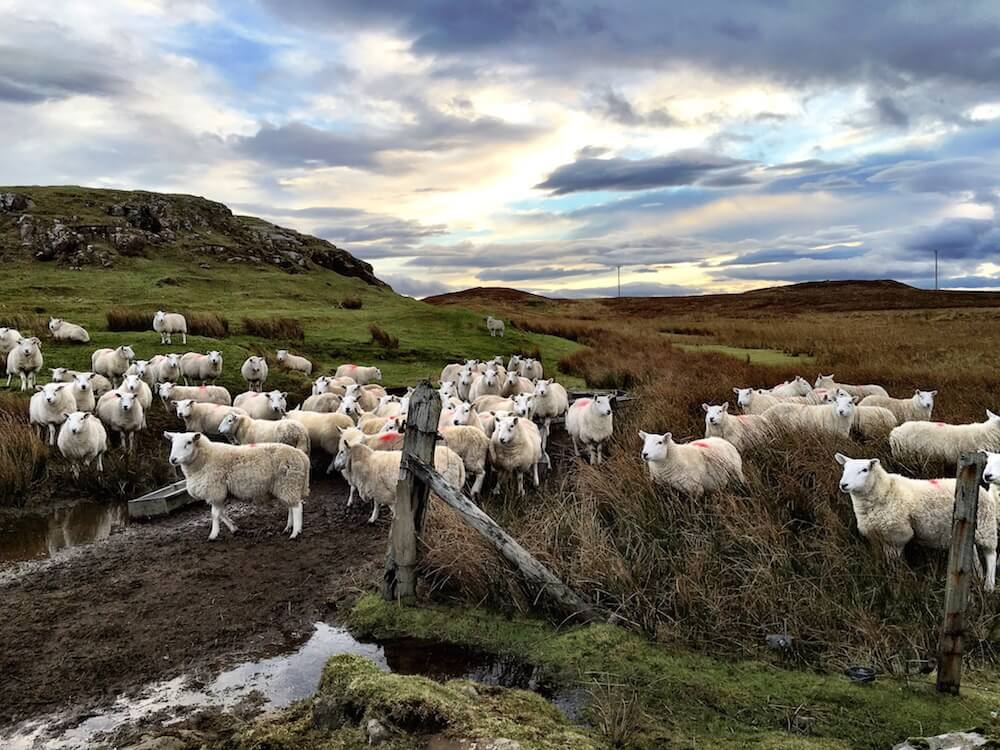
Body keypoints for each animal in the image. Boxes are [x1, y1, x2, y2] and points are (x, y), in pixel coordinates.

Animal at [164, 431, 309, 540]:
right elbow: (221, 513)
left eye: (189, 442)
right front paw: (234, 528)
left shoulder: (215, 489)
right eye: (172, 442)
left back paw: (295, 532)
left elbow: (214, 514)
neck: (204, 459)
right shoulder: (219, 493)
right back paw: (288, 527)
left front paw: (213, 534)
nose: (173, 460)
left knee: (297, 507)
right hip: (285, 485)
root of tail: (301, 456)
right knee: (291, 506)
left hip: (289, 482)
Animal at [334, 431, 464, 523]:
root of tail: (457, 459)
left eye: (341, 452)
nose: (335, 466)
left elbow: (391, 510)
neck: (367, 461)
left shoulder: (385, 493)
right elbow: (376, 503)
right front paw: (373, 518)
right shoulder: (377, 489)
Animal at [837, 453, 996, 590]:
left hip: (986, 526)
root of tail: (983, 490)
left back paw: (989, 586)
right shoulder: (875, 537)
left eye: (864, 470)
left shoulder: (898, 536)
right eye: (844, 468)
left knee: (991, 555)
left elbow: (894, 562)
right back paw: (977, 577)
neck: (885, 491)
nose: (843, 485)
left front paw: (895, 580)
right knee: (973, 555)